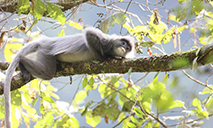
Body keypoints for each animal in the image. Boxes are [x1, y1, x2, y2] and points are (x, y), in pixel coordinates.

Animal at [3, 26, 134, 127]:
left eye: (127, 48)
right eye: (123, 43)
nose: (124, 48)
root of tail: (45, 41)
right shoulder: (106, 41)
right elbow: (89, 33)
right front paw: (105, 57)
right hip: (46, 51)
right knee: (47, 73)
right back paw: (21, 61)